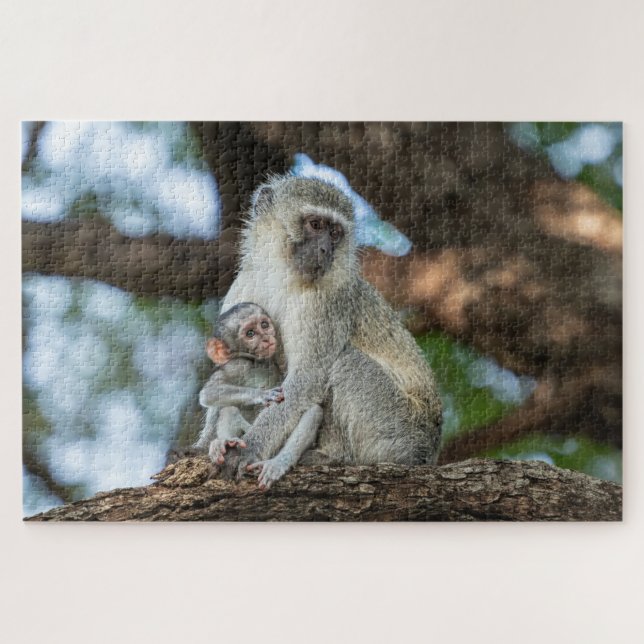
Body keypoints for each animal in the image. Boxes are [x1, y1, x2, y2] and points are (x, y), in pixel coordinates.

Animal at [194, 302, 323, 489]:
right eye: (250, 334)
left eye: (264, 325)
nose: (266, 338)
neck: (258, 363)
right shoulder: (238, 364)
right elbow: (209, 392)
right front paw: (263, 395)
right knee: (229, 410)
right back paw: (224, 443)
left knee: (314, 412)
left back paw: (277, 464)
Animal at [215, 175, 442, 481]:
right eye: (316, 225)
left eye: (335, 234)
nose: (325, 250)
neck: (283, 275)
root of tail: (429, 452)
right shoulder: (244, 285)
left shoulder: (327, 301)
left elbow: (307, 379)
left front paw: (248, 449)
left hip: (399, 431)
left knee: (346, 363)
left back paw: (332, 456)